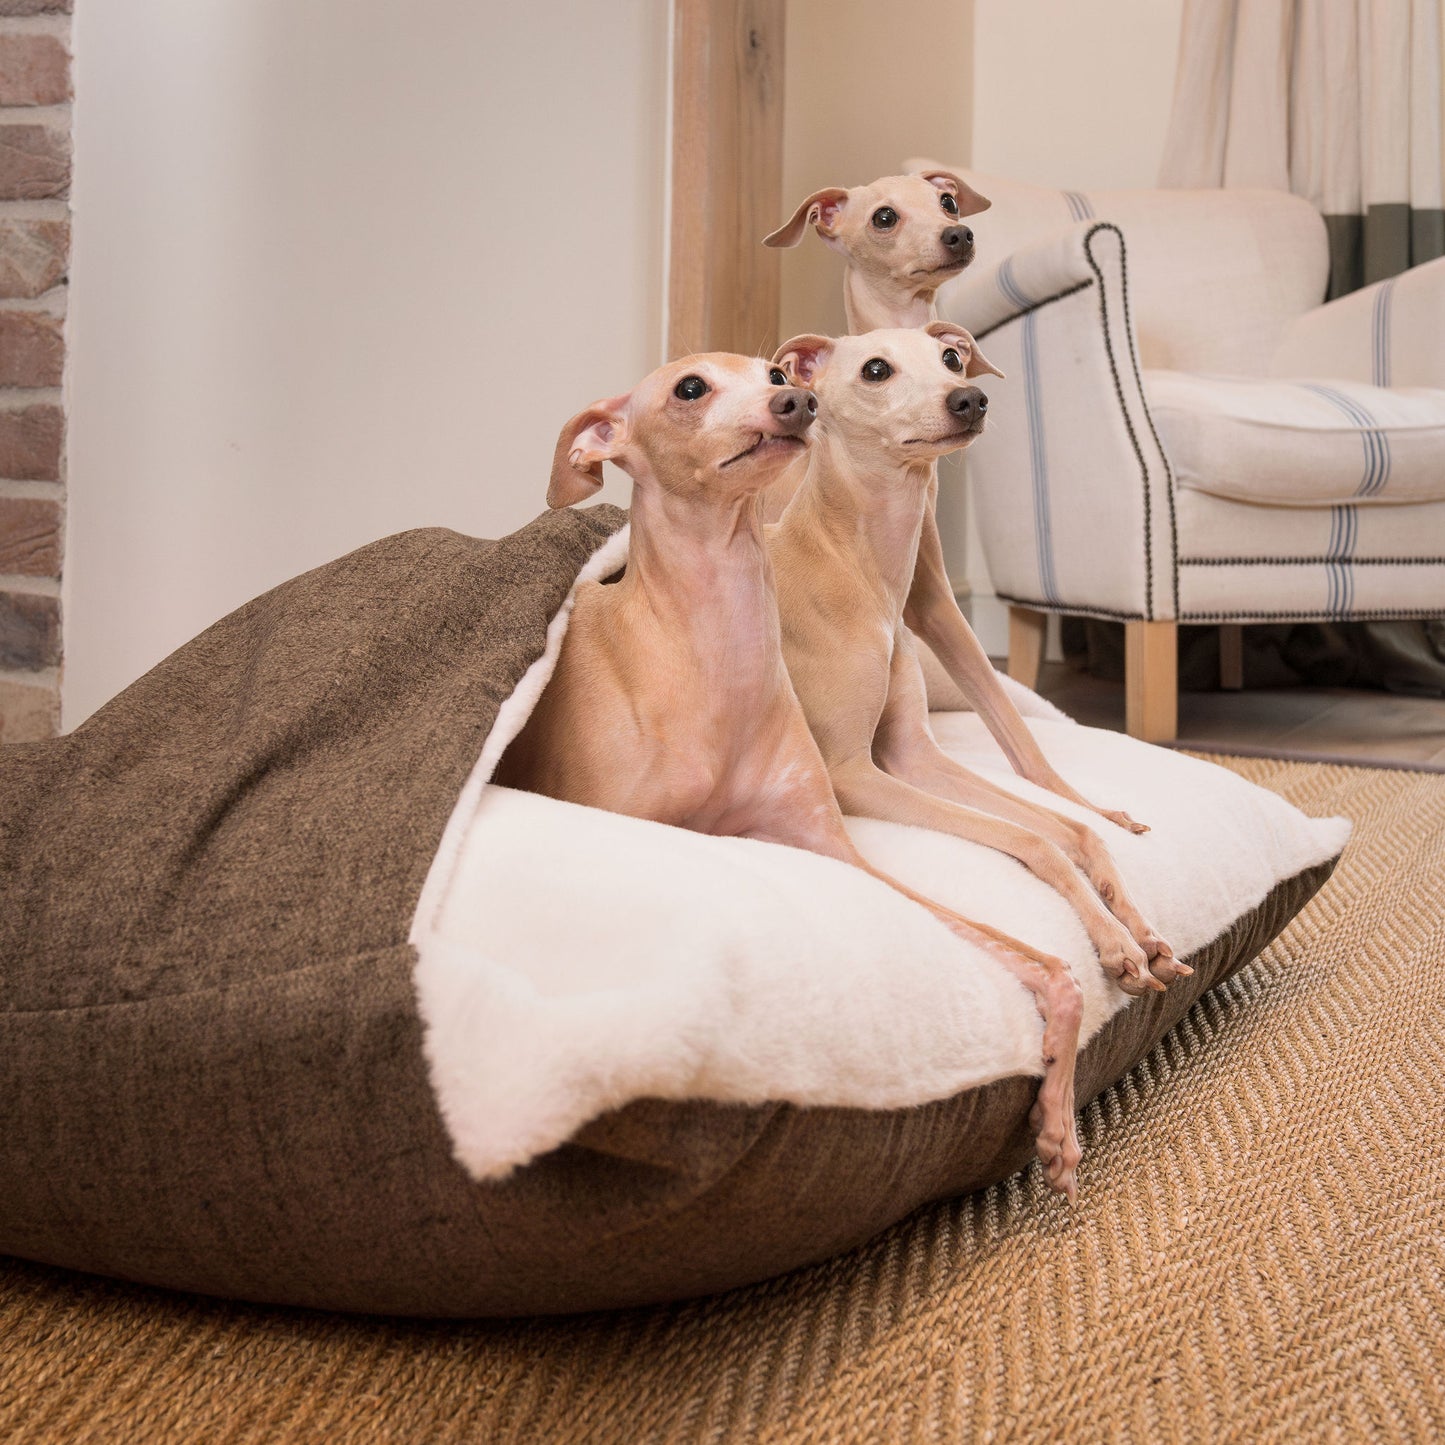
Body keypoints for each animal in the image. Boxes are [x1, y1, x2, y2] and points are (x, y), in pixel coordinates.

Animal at [499, 352, 1086, 1196]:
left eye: (773, 373)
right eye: (689, 387)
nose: (796, 404)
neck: (713, 659)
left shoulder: (833, 846)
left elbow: (1039, 959)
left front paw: (1058, 1119)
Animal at [762, 169, 1144, 838]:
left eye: (945, 202)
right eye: (884, 217)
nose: (969, 399)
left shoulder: (934, 599)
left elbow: (1013, 732)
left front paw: (1091, 810)